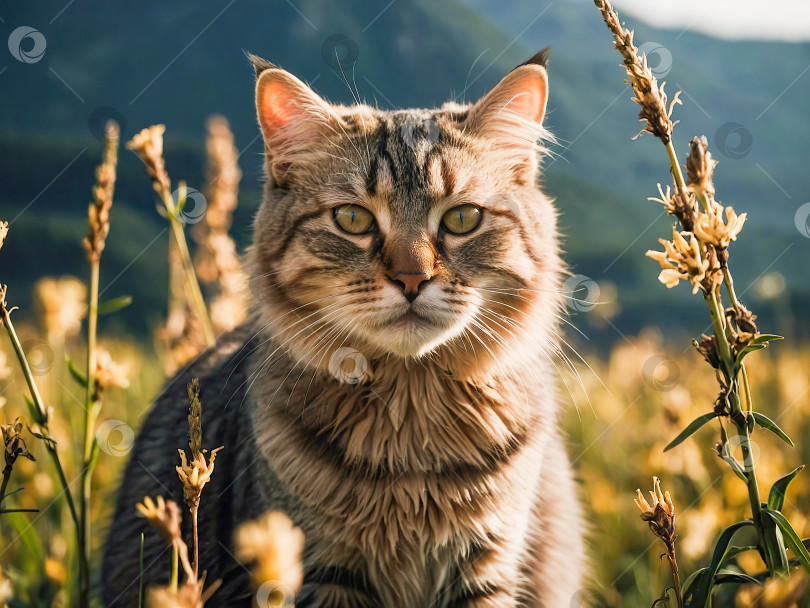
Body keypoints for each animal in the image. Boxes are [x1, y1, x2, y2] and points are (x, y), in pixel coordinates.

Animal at [99, 50, 580, 604]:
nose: (412, 277)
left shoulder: (490, 567)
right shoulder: (318, 570)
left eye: (462, 219)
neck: (410, 422)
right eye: (353, 219)